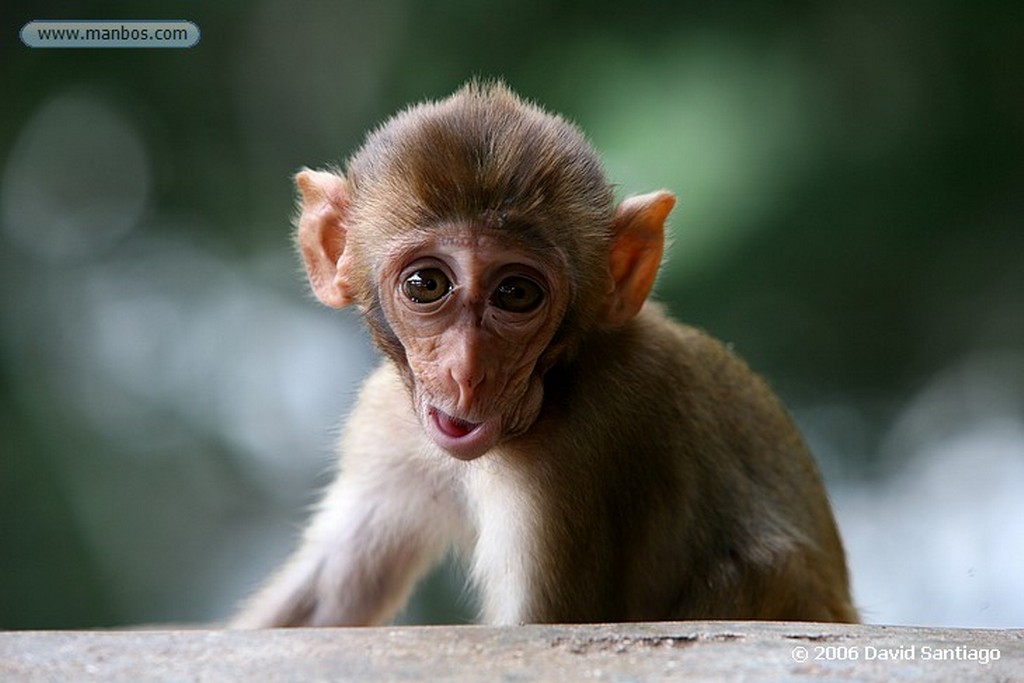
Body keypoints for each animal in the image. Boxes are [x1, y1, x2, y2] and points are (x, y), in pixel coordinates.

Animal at [234, 81, 856, 630]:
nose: (467, 370)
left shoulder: (577, 459)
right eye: (426, 285)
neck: (557, 384)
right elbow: (330, 597)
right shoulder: (386, 422)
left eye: (516, 293)